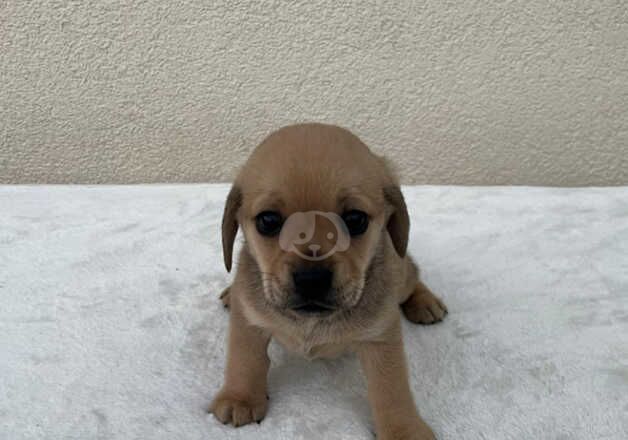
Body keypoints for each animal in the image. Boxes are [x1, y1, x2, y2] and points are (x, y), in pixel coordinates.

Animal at [211, 124, 446, 440]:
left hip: (402, 274)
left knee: (413, 272)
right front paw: (241, 397)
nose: (312, 280)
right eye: (268, 220)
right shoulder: (247, 320)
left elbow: (391, 389)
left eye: (355, 219)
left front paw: (403, 431)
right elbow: (244, 359)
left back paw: (425, 302)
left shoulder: (382, 338)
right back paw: (229, 292)